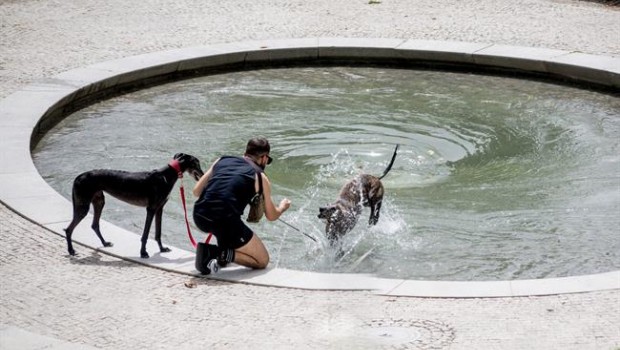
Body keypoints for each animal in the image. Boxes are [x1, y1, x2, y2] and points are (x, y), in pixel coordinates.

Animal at [65, 153, 206, 258]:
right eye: (197, 163)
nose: (203, 174)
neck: (165, 176)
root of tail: (78, 177)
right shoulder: (151, 209)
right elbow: (145, 235)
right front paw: (143, 253)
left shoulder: (160, 208)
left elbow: (158, 233)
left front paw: (162, 249)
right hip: (83, 206)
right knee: (68, 229)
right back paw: (71, 251)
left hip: (99, 201)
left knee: (94, 225)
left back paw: (105, 243)